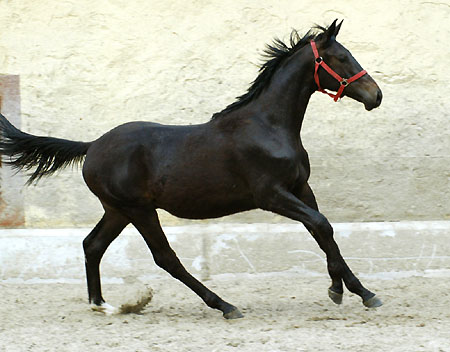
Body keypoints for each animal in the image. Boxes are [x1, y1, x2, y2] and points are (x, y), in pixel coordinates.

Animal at [0, 21, 382, 320]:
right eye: (341, 58)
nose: (375, 96)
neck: (268, 126)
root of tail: (92, 146)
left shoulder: (301, 188)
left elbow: (321, 230)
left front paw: (350, 290)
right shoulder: (271, 195)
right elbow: (321, 225)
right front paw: (353, 292)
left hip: (117, 210)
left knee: (92, 245)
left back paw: (102, 305)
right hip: (138, 210)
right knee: (165, 257)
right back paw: (225, 306)